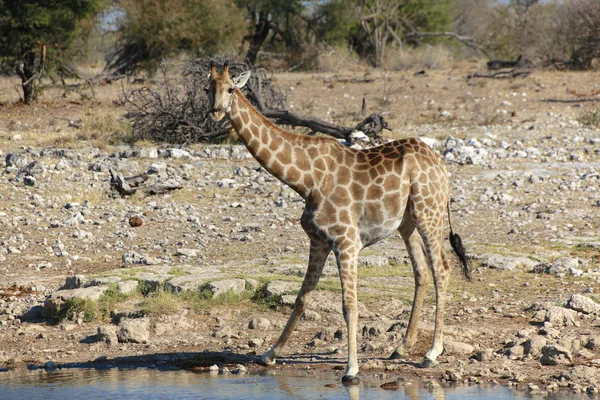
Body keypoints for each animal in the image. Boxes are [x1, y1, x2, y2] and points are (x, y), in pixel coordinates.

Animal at [205, 62, 468, 384]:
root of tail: (442, 166)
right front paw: (269, 354)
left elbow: (349, 305)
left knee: (441, 269)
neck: (305, 180)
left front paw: (351, 369)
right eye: (207, 89)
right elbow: (302, 298)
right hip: (407, 222)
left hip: (428, 211)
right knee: (421, 272)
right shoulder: (318, 240)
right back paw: (402, 348)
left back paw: (431, 353)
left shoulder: (346, 242)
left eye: (231, 88)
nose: (215, 112)